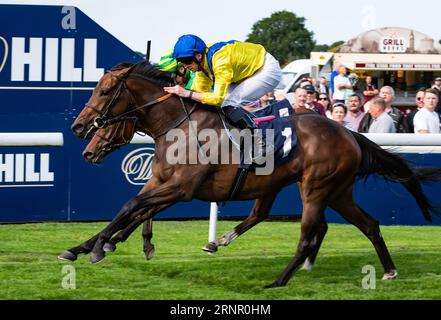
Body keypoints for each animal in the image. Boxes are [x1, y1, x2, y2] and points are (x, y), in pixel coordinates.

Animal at [62, 60, 440, 288]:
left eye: (105, 91)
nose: (80, 129)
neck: (178, 125)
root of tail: (348, 133)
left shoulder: (182, 187)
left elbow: (131, 206)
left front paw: (98, 247)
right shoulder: (161, 182)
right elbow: (136, 208)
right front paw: (89, 245)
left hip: (317, 187)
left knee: (308, 233)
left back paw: (277, 280)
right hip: (332, 191)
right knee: (367, 224)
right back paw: (388, 270)